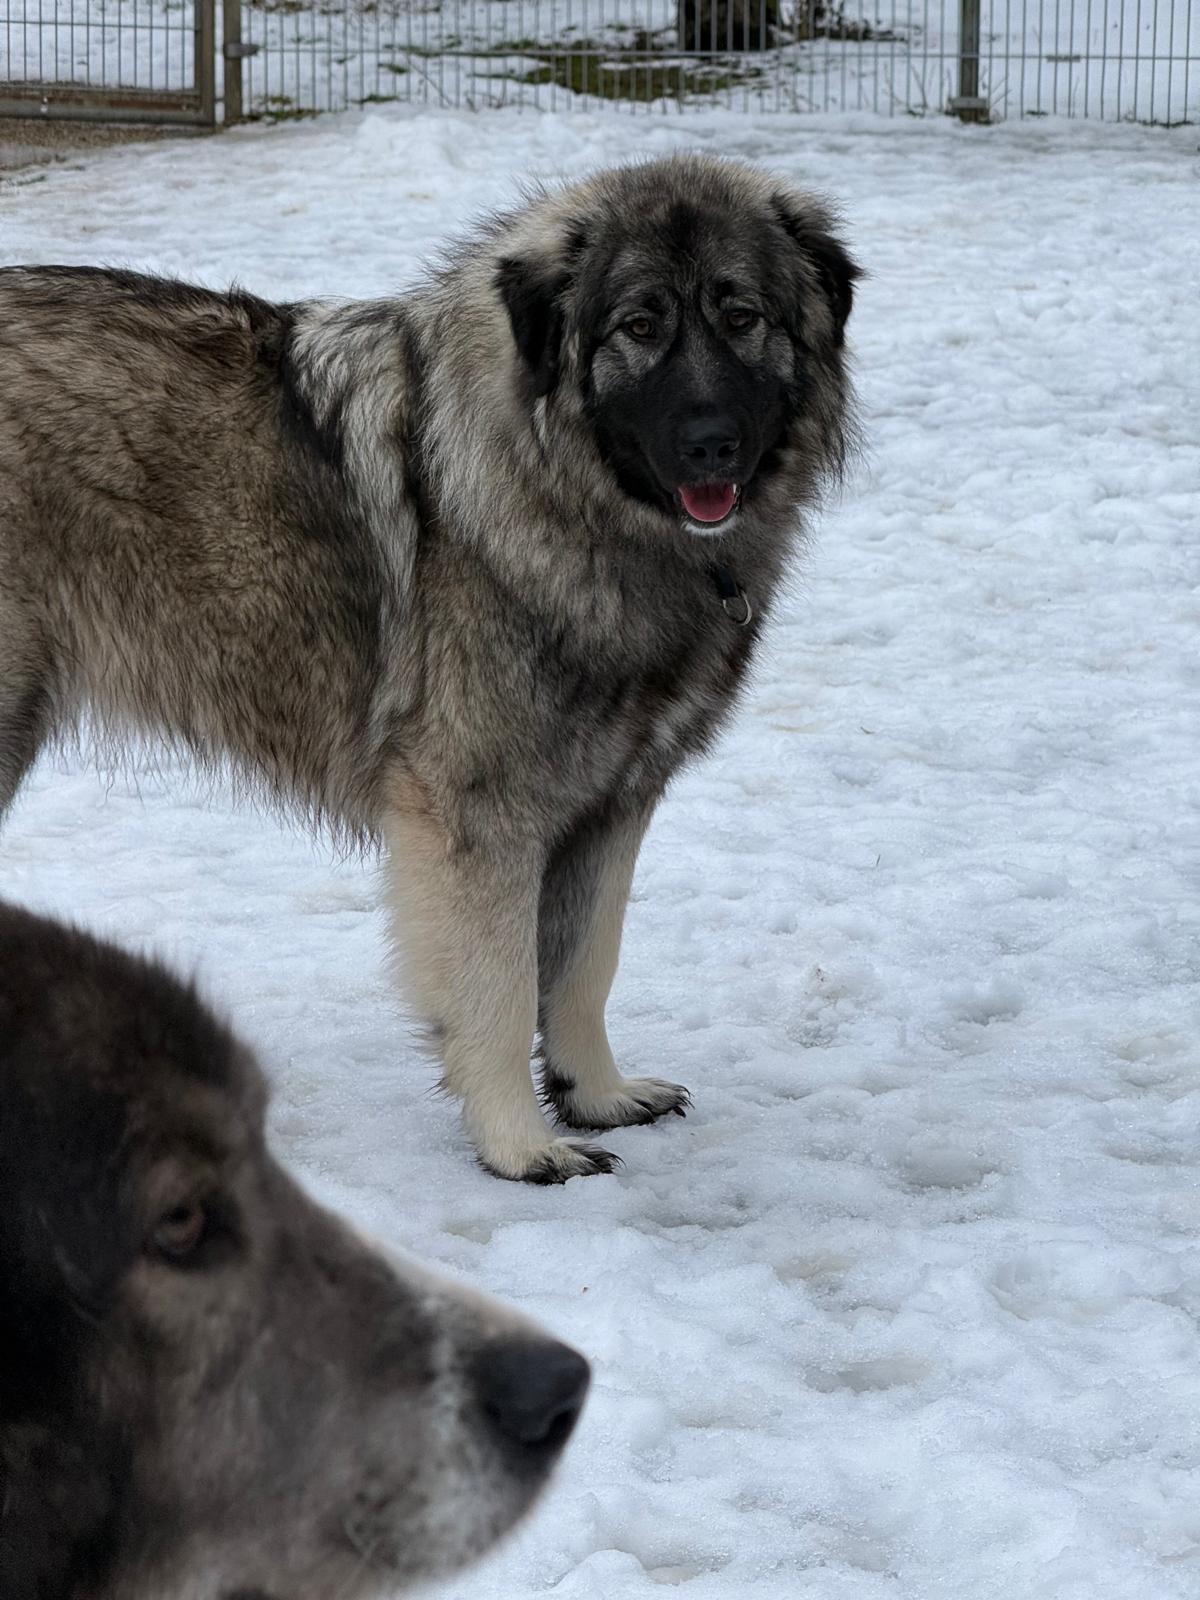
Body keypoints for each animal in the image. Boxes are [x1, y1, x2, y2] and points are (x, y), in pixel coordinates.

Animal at [0, 154, 859, 1183]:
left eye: (741, 316)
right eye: (640, 327)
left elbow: (585, 965)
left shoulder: (611, 806)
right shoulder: (478, 814)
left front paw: (596, 1093)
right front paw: (520, 1145)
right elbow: (500, 987)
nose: (711, 444)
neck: (556, 486)